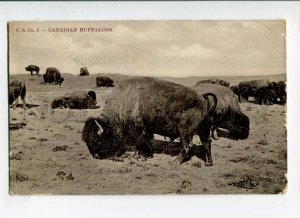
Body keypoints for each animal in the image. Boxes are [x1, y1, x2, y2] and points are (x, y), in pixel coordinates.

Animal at [82, 77, 218, 166]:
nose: (96, 156)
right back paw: (208, 163)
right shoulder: (145, 131)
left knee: (187, 145)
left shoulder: (137, 130)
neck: (123, 101)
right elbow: (145, 142)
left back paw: (174, 162)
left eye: (97, 140)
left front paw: (140, 156)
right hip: (203, 129)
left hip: (185, 130)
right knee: (207, 142)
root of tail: (202, 97)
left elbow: (139, 143)